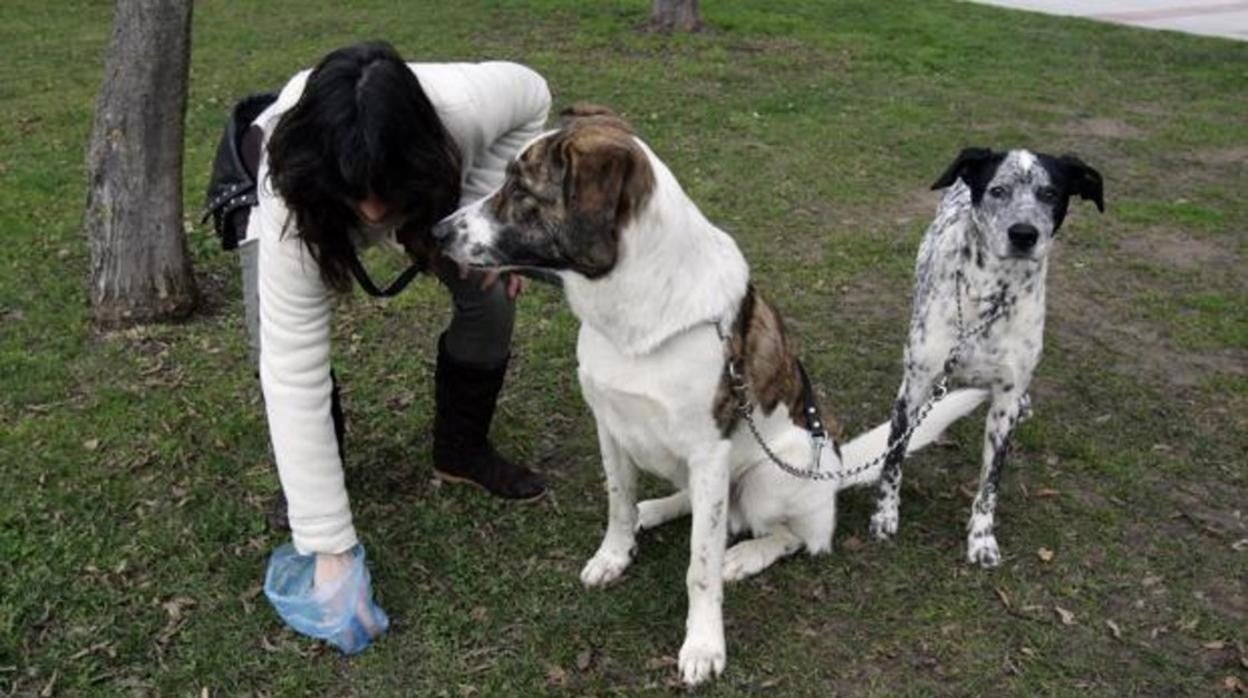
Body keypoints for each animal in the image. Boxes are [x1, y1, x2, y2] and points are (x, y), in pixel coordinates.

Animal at [434, 106, 988, 684]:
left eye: (521, 188)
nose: (437, 231)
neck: (633, 306)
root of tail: (833, 470)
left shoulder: (709, 452)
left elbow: (701, 567)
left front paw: (703, 643)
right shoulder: (611, 428)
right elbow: (618, 503)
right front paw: (616, 552)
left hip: (771, 474)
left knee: (798, 536)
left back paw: (746, 554)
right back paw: (656, 510)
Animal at [868, 147, 1103, 569]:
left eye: (1050, 193)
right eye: (998, 190)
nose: (1024, 234)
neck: (993, 294)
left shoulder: (1004, 404)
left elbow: (990, 483)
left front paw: (981, 539)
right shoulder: (913, 388)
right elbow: (893, 460)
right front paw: (885, 515)